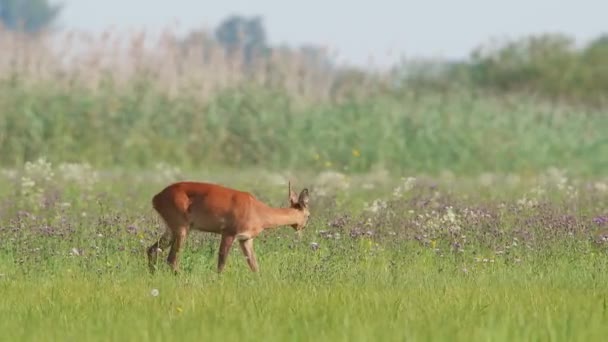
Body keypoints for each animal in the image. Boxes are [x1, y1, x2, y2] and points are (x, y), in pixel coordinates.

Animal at [146, 180, 308, 274]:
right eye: (308, 215)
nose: (302, 229)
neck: (259, 211)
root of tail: (156, 198)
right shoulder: (229, 233)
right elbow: (221, 263)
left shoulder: (245, 239)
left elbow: (254, 266)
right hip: (181, 228)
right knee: (172, 259)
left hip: (171, 229)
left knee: (152, 250)